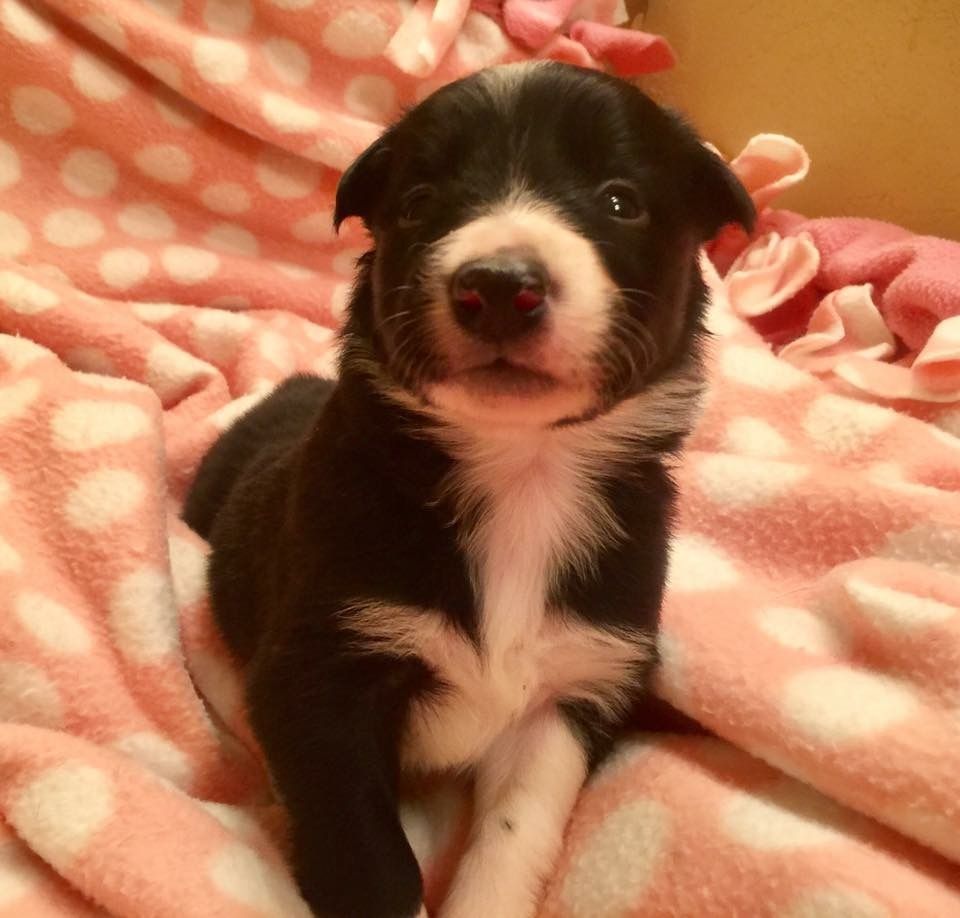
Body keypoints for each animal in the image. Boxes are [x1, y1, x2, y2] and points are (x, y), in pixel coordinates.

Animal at [183, 60, 754, 918]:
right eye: (420, 201)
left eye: (620, 198)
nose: (500, 285)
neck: (521, 470)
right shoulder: (320, 681)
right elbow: (368, 855)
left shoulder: (573, 685)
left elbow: (517, 833)